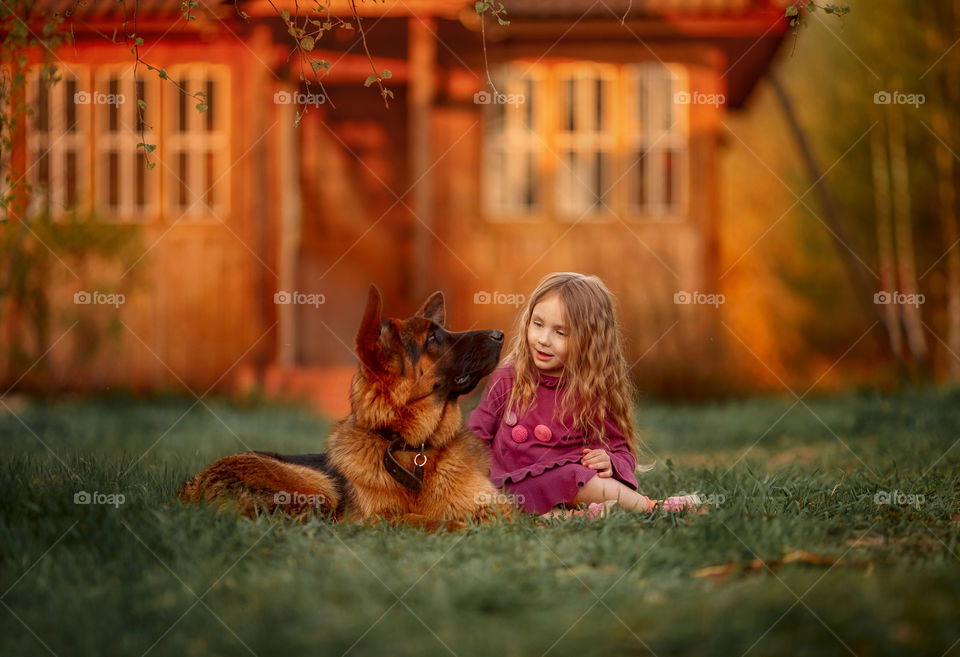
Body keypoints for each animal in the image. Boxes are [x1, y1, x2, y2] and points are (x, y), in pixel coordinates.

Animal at [179, 286, 510, 528]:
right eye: (432, 337)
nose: (500, 334)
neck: (415, 449)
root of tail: (189, 489)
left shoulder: (499, 508)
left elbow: (496, 516)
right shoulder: (375, 519)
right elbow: (416, 519)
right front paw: (458, 527)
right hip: (317, 486)